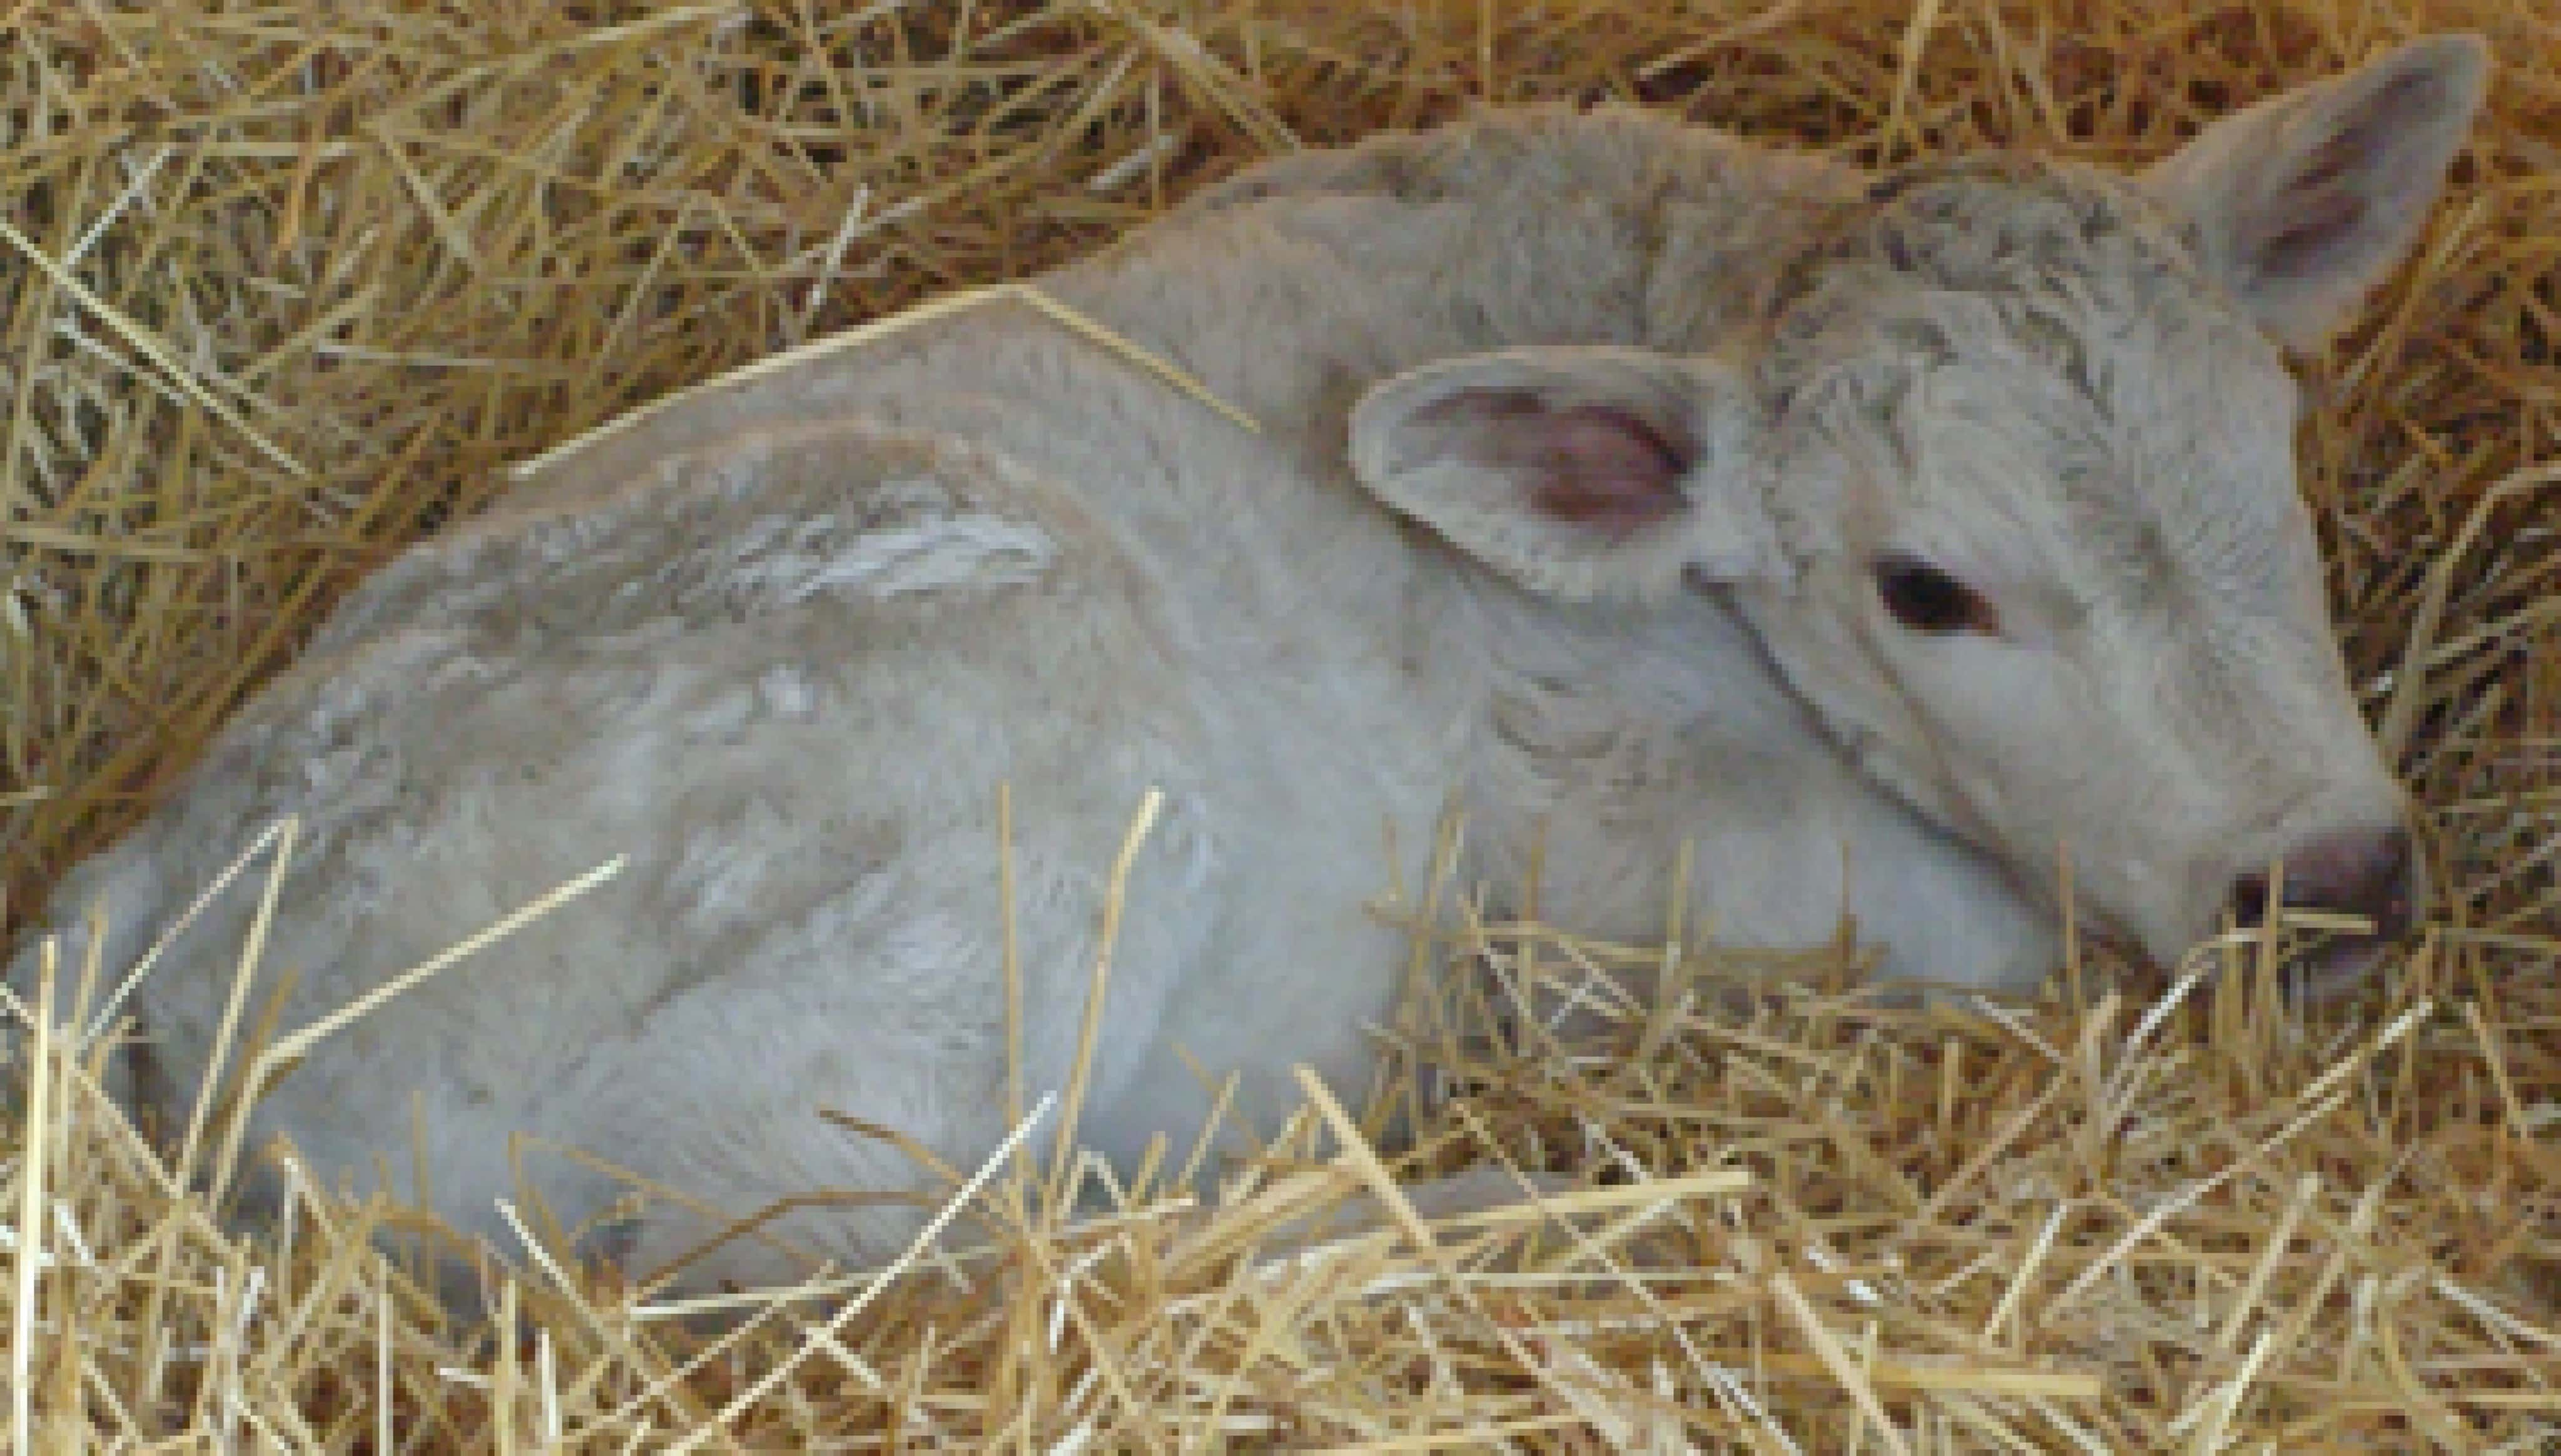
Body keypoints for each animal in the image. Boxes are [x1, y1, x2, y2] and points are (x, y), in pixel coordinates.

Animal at [4, 34, 2478, 1290]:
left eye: (2268, 444)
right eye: (1925, 588)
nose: (2336, 876)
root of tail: (156, 867)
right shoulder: (1607, 863)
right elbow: (1994, 930)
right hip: (975, 758)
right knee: (858, 1265)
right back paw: (1453, 1213)